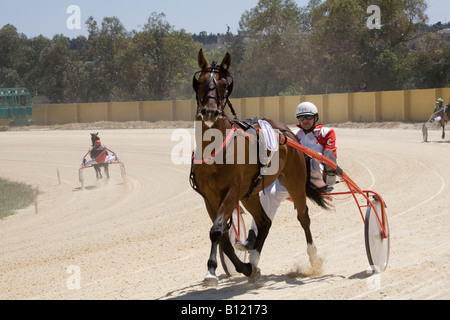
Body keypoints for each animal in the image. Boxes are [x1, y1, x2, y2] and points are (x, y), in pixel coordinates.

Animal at [190, 49, 326, 284]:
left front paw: (211, 270)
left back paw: (313, 257)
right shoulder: (209, 197)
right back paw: (253, 261)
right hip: (250, 194)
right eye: (201, 81)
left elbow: (217, 230)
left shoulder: (231, 191)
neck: (215, 149)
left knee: (303, 216)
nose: (209, 112)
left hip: (294, 181)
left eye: (224, 84)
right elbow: (223, 237)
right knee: (264, 222)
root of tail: (288, 132)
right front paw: (245, 267)